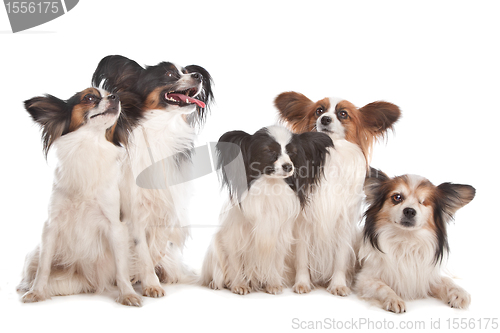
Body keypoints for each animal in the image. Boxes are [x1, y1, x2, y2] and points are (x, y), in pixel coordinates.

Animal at [17, 87, 142, 306]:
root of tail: (90, 281)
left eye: (112, 94)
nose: (116, 97)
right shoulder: (51, 226)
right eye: (89, 98)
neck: (89, 145)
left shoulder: (114, 226)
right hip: (36, 256)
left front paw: (127, 294)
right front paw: (36, 292)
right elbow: (44, 266)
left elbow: (121, 267)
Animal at [92, 54, 213, 296]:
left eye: (188, 71)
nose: (198, 75)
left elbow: (158, 243)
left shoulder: (169, 204)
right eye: (169, 74)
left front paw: (151, 273)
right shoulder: (134, 211)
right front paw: (150, 283)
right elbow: (142, 250)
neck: (162, 130)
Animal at [201, 124, 334, 294]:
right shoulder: (233, 238)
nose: (288, 166)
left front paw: (273, 284)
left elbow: (274, 262)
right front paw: (239, 285)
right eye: (269, 151)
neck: (270, 187)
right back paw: (215, 283)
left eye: (292, 153)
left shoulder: (276, 236)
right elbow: (234, 263)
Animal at [276, 91, 400, 296]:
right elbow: (302, 257)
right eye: (319, 111)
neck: (332, 154)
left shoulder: (344, 222)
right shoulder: (303, 223)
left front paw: (338, 284)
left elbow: (341, 258)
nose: (325, 119)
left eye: (343, 114)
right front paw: (302, 283)